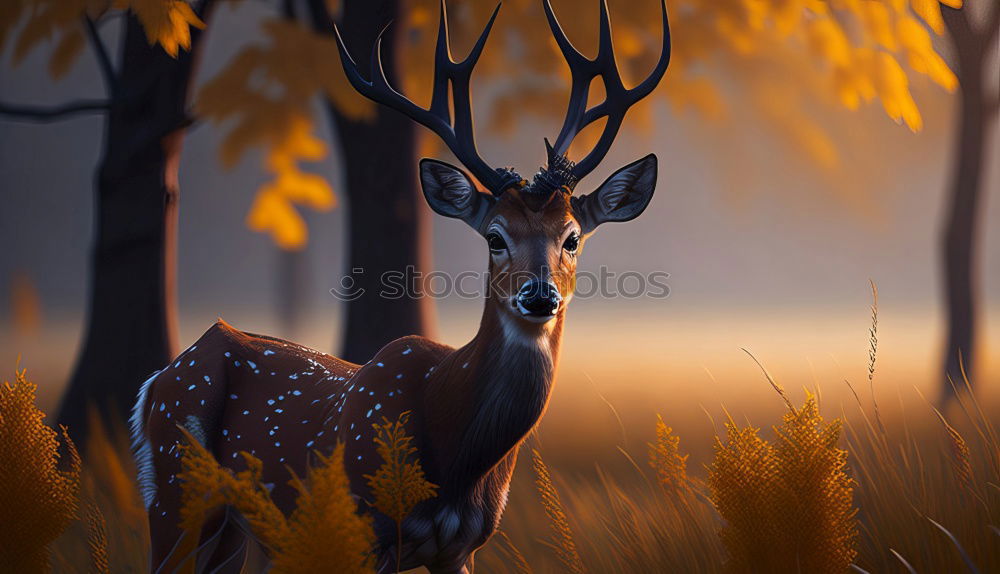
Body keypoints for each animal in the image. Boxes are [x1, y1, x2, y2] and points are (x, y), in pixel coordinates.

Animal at [129, 2, 668, 572]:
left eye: (572, 237)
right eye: (495, 236)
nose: (539, 296)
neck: (455, 458)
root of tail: (157, 380)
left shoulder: (464, 546)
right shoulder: (366, 527)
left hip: (232, 529)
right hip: (175, 490)